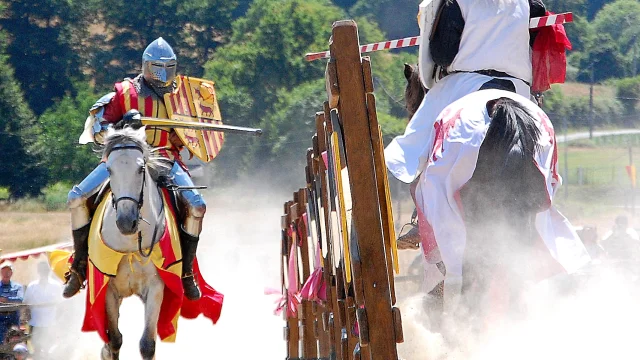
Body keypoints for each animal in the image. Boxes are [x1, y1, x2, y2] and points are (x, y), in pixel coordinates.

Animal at [99, 127, 172, 360]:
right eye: (109, 169)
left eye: (141, 169)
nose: (125, 221)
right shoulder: (108, 290)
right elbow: (114, 340)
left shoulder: (156, 287)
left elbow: (147, 344)